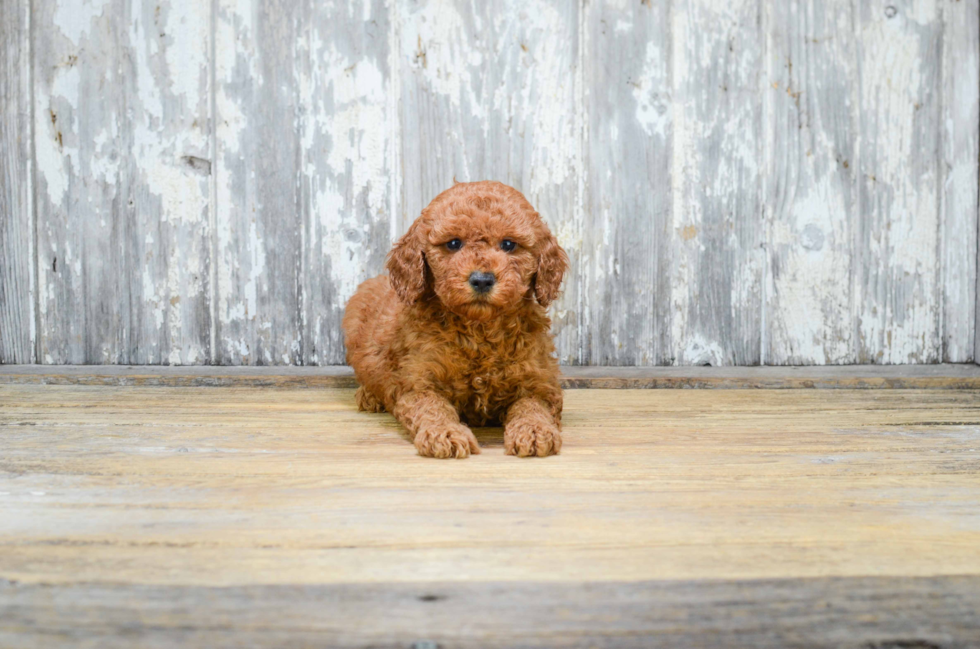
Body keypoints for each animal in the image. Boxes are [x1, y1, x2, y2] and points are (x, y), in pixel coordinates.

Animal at [342, 180, 568, 458]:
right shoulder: (417, 384)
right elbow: (432, 407)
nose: (482, 279)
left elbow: (532, 405)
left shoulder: (541, 383)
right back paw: (370, 396)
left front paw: (534, 430)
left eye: (508, 244)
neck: (479, 330)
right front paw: (445, 433)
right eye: (453, 244)